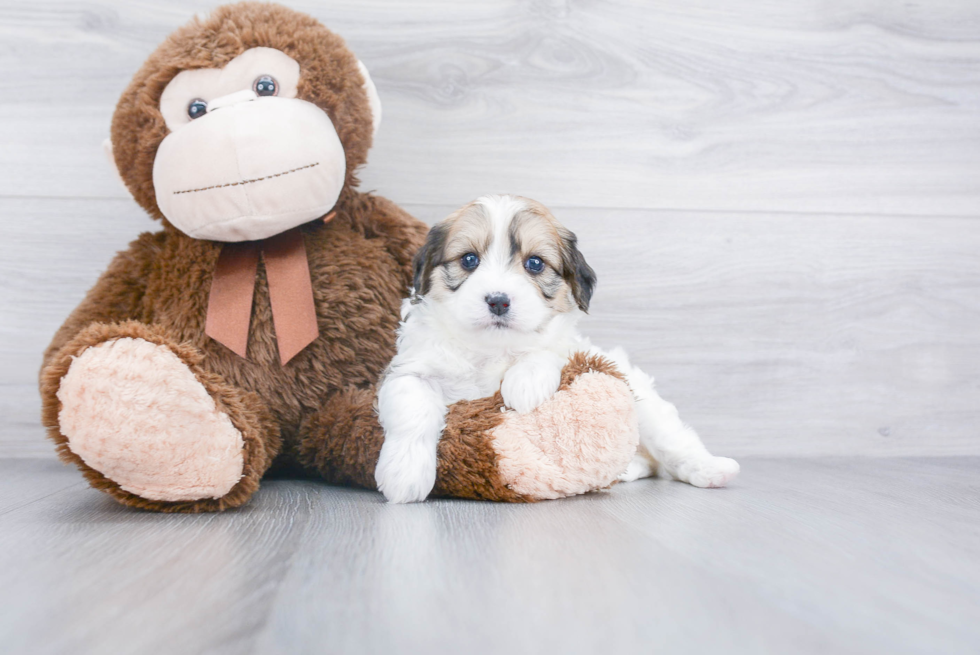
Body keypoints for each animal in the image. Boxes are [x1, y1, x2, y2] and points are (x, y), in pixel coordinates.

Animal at [372, 195, 740, 502]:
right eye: (469, 260)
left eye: (535, 264)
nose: (498, 301)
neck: (490, 349)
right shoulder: (408, 370)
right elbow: (413, 407)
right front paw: (404, 473)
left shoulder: (570, 347)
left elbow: (549, 350)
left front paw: (525, 383)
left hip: (645, 402)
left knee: (671, 443)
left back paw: (710, 469)